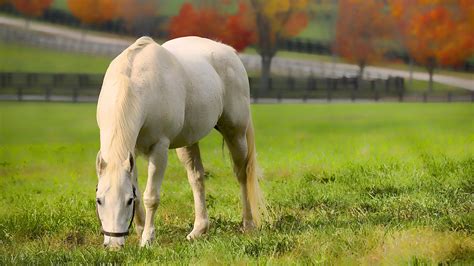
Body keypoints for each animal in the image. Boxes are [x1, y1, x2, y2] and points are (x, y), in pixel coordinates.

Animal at [94, 36, 264, 248]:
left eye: (127, 201)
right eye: (99, 200)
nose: (114, 245)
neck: (135, 82)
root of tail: (230, 52)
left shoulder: (159, 149)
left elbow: (151, 196)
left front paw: (147, 239)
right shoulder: (131, 152)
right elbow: (140, 192)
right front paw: (140, 231)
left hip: (236, 134)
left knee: (242, 175)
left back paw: (248, 224)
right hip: (188, 143)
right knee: (197, 178)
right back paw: (198, 230)